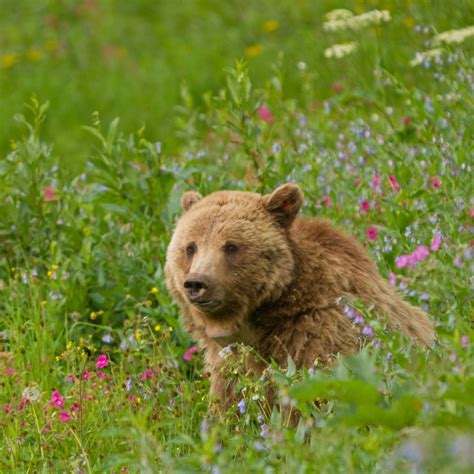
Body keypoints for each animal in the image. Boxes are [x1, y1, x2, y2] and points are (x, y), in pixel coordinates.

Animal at [165, 183, 436, 410]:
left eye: (231, 246)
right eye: (190, 247)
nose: (197, 283)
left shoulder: (317, 335)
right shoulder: (228, 361)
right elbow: (229, 404)